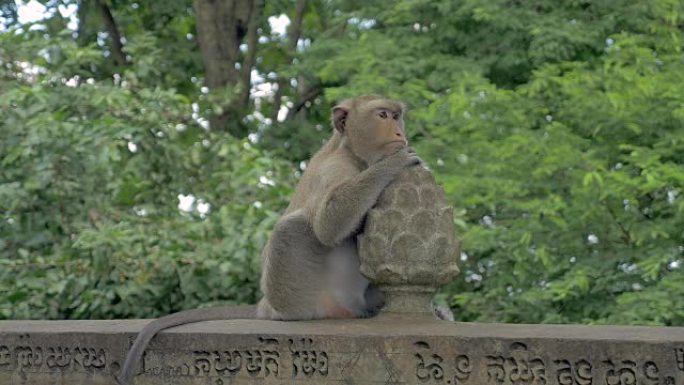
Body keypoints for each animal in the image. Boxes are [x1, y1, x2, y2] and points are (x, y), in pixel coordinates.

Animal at [117, 96, 416, 384]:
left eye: (396, 115)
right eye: (382, 115)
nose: (399, 132)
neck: (352, 152)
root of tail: (268, 305)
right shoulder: (335, 168)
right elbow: (327, 224)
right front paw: (394, 162)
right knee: (291, 229)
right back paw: (297, 313)